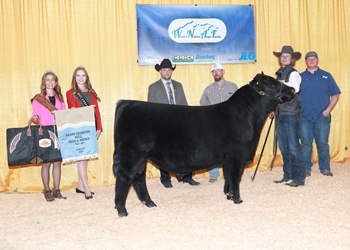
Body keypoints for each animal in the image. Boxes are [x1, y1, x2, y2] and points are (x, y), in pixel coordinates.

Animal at [113, 73, 296, 217]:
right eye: (272, 83)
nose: (293, 90)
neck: (247, 115)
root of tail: (127, 103)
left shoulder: (228, 158)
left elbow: (228, 177)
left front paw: (228, 195)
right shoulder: (238, 155)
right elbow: (235, 177)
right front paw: (237, 199)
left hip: (141, 159)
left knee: (138, 179)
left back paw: (149, 203)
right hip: (131, 155)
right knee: (125, 179)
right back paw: (122, 210)